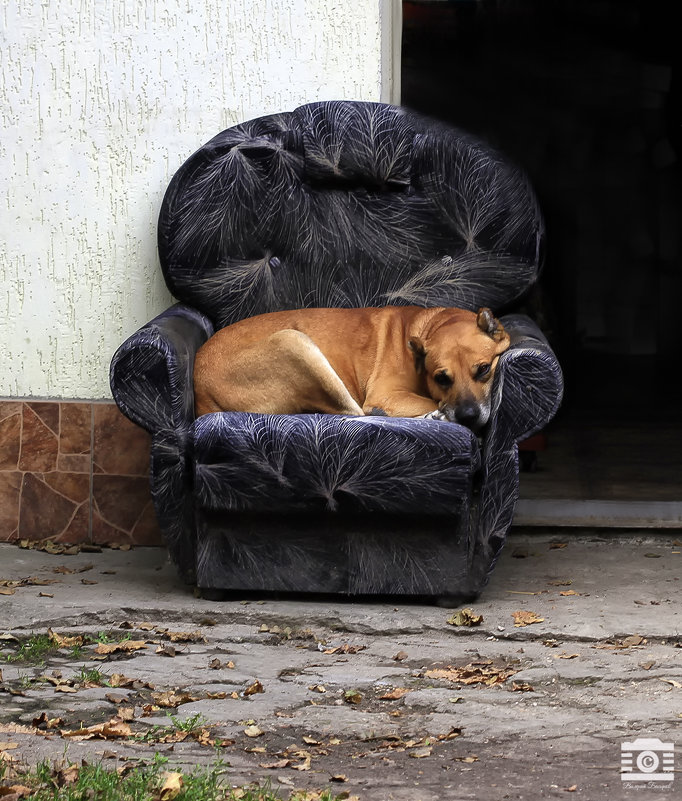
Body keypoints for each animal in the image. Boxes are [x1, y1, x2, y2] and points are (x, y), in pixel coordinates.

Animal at [194, 306, 508, 432]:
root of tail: (200, 391)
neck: (433, 324)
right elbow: (426, 401)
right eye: (442, 378)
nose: (468, 417)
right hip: (294, 340)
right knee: (355, 412)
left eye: (484, 369)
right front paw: (435, 411)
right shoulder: (385, 394)